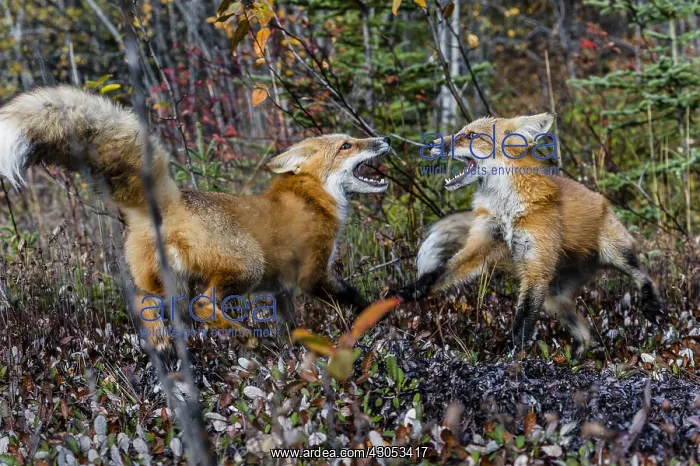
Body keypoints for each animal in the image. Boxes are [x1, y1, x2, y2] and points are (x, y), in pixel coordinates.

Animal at [0, 86, 392, 349]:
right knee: (204, 305)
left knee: (146, 305)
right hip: (245, 265)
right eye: (346, 145)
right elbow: (353, 298)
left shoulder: (281, 289)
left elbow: (292, 325)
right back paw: (246, 337)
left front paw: (294, 348)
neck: (311, 198)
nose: (385, 138)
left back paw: (164, 345)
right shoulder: (312, 274)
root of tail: (172, 200)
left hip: (166, 285)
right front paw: (377, 316)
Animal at [396, 113, 664, 356]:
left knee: (642, 274)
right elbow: (440, 273)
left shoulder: (535, 265)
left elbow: (522, 323)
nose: (430, 144)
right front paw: (410, 291)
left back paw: (651, 304)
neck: (506, 208)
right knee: (585, 332)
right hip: (552, 298)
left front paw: (513, 360)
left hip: (614, 252)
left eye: (471, 135)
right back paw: (576, 360)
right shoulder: (484, 245)